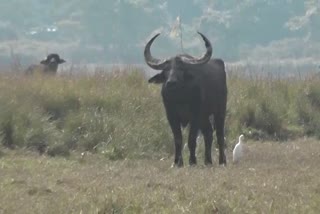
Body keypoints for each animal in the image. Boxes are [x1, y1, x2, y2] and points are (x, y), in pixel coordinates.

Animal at [144, 31, 226, 166]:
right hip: (204, 117)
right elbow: (178, 139)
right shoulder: (171, 116)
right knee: (208, 133)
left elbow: (191, 138)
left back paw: (222, 161)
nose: (171, 82)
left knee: (219, 134)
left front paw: (192, 161)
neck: (180, 98)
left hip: (220, 110)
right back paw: (207, 161)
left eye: (181, 69)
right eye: (166, 70)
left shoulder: (195, 115)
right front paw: (177, 162)